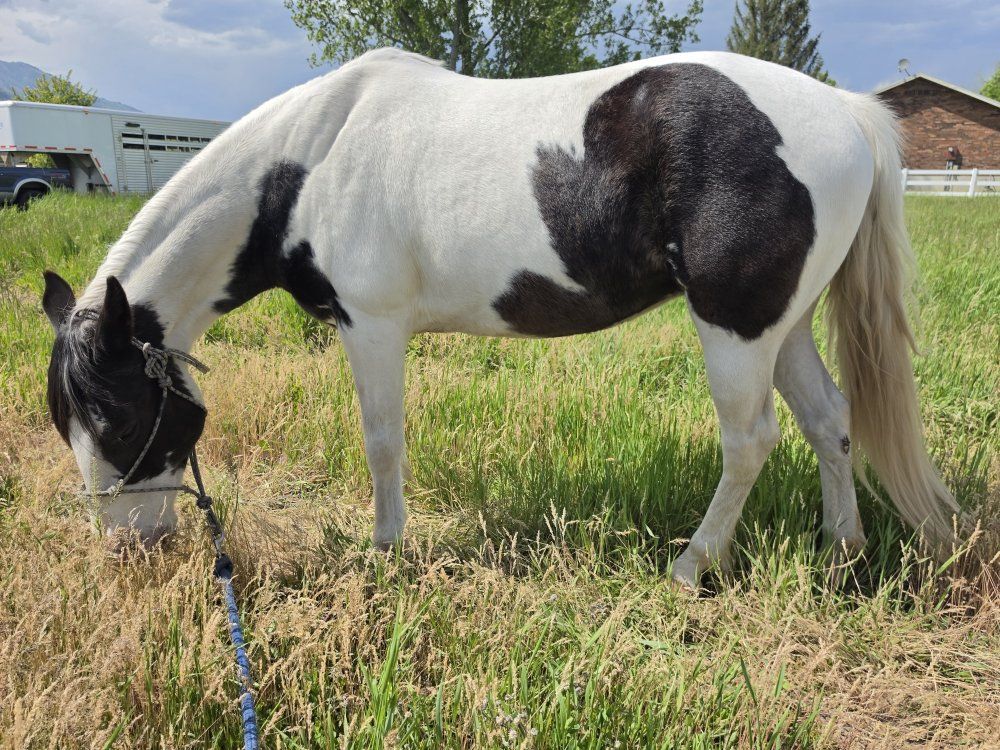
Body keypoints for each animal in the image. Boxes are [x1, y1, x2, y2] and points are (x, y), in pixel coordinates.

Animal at [41, 48, 959, 588]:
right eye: (67, 422)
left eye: (117, 416)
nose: (128, 550)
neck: (306, 167)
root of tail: (848, 114)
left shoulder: (370, 325)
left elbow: (382, 443)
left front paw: (386, 552)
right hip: (782, 324)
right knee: (829, 421)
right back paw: (842, 553)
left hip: (735, 328)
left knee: (751, 440)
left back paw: (690, 568)